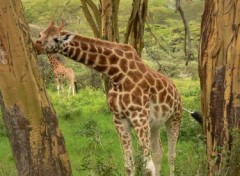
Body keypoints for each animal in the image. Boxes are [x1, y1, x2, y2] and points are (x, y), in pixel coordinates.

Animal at [35, 21, 182, 176]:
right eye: (40, 34)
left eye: (56, 39)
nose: (37, 45)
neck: (115, 72)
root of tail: (176, 90)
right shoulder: (119, 119)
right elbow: (129, 165)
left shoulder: (139, 118)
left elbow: (148, 167)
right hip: (155, 124)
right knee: (159, 152)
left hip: (175, 117)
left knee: (171, 155)